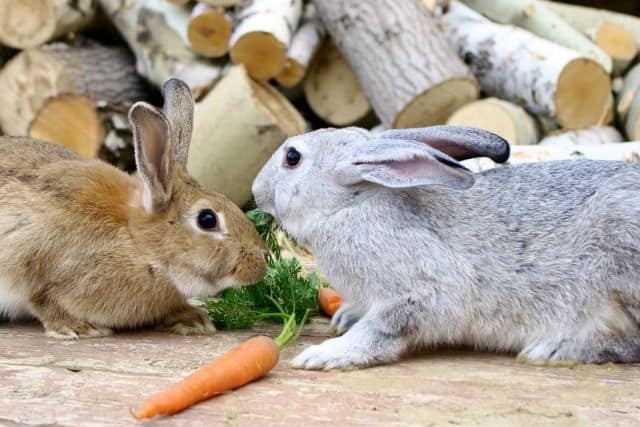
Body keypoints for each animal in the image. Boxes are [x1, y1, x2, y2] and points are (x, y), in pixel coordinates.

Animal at [0, 78, 266, 339]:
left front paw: (193, 320)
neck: (139, 243)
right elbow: (43, 300)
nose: (259, 266)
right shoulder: (34, 264)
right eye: (207, 219)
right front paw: (78, 328)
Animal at [252, 125, 640, 370]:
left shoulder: (424, 292)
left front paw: (324, 355)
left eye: (292, 157)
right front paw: (344, 317)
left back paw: (554, 349)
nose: (257, 191)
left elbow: (382, 330)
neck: (352, 204)